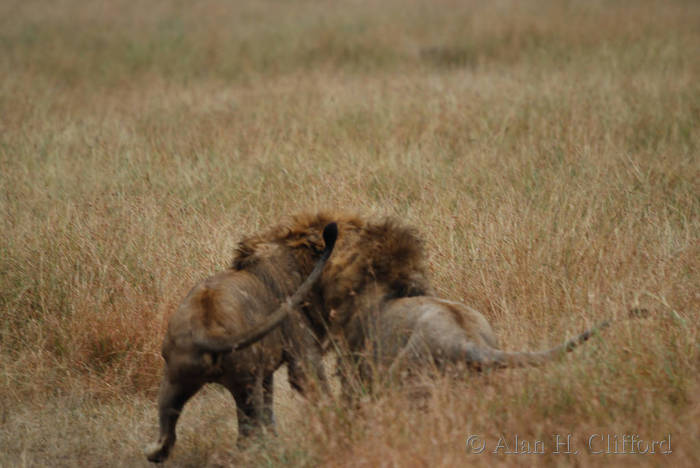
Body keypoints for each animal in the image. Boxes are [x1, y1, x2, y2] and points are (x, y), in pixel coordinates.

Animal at [146, 223, 338, 463]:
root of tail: (206, 327)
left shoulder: (265, 371)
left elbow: (269, 408)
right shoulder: (300, 346)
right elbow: (312, 383)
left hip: (174, 378)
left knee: (167, 430)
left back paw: (154, 452)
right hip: (245, 383)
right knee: (249, 432)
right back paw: (262, 454)